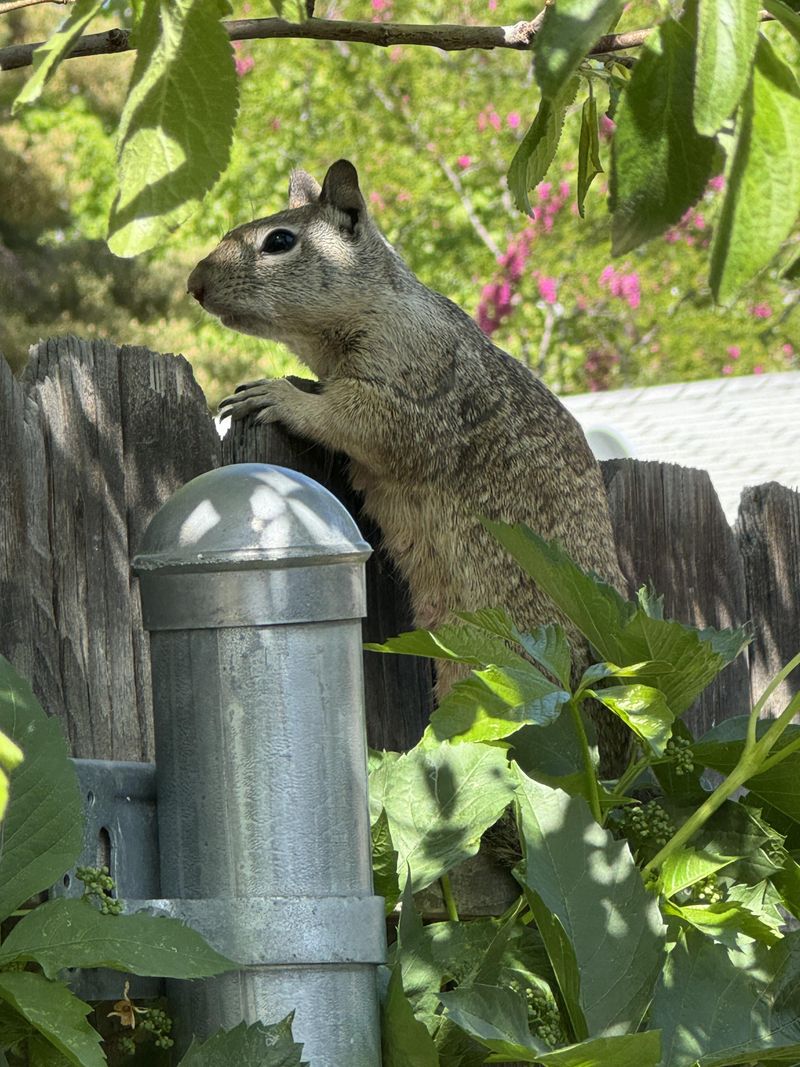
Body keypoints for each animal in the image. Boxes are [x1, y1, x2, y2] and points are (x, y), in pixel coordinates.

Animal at [187, 157, 631, 772]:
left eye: (279, 241)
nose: (195, 283)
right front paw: (296, 383)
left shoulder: (412, 392)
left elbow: (357, 420)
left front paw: (280, 395)